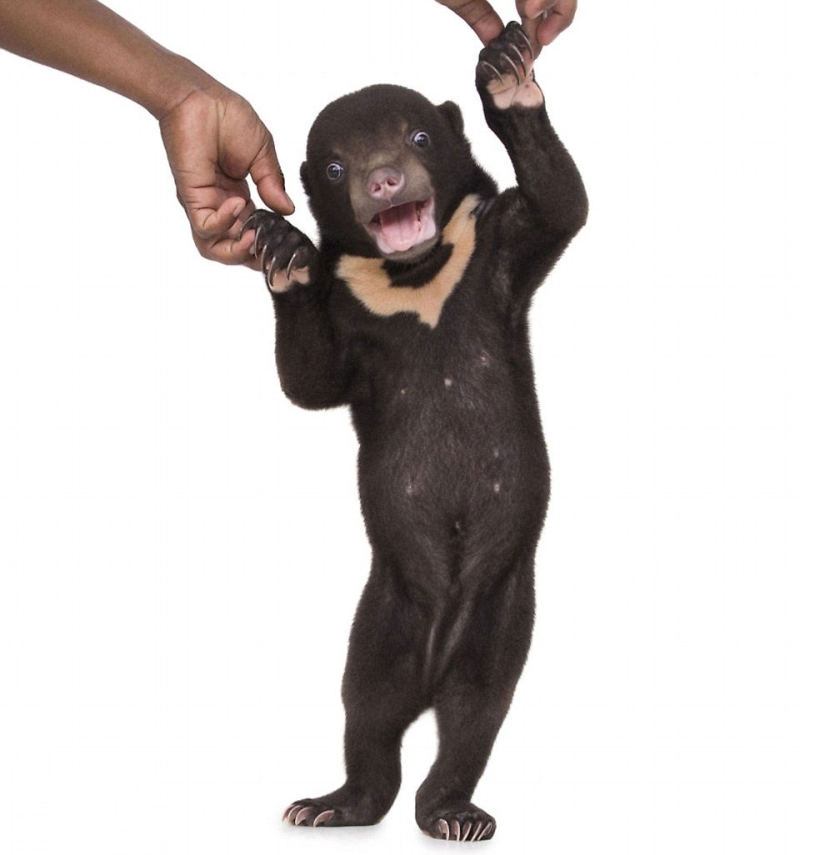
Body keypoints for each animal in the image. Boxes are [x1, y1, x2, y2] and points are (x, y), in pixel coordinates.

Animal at [242, 22, 587, 842]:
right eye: (337, 165)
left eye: (421, 136)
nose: (385, 182)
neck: (415, 276)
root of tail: (434, 657)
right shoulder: (350, 315)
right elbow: (308, 382)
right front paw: (282, 248)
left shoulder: (496, 252)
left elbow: (560, 205)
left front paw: (506, 71)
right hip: (382, 622)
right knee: (366, 712)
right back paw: (330, 804)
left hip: (501, 619)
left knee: (474, 716)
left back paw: (454, 812)